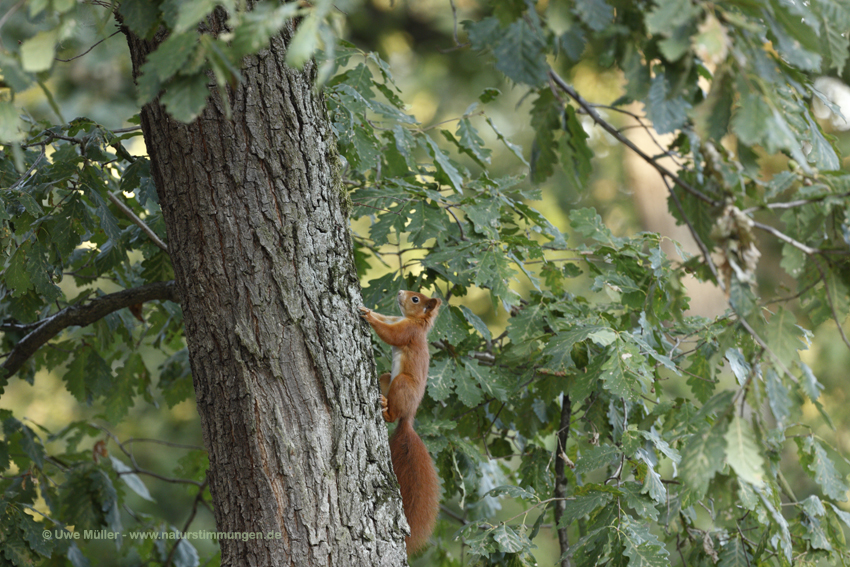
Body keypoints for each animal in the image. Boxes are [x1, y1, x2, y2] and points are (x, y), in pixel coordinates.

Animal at [356, 290, 438, 556]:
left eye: (416, 299)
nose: (401, 292)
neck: (415, 322)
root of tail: (409, 417)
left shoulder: (407, 332)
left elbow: (391, 334)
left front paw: (369, 316)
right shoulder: (396, 319)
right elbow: (387, 320)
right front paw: (368, 308)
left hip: (401, 384)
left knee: (394, 413)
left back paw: (385, 411)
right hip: (385, 379)